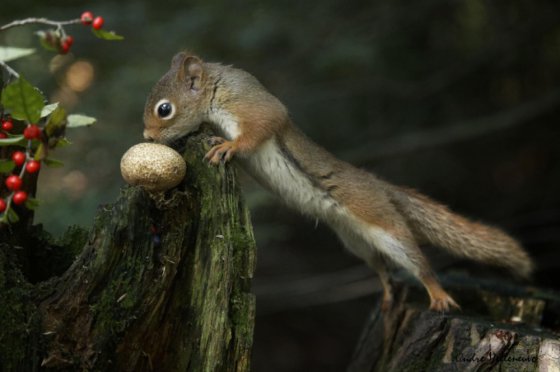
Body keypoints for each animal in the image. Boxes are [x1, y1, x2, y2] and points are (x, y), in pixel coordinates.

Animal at [142, 50, 532, 310]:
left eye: (165, 109)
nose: (146, 137)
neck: (215, 90)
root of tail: (381, 187)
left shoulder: (252, 106)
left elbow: (261, 126)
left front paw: (228, 146)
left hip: (387, 226)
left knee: (418, 264)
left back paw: (438, 295)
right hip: (355, 241)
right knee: (382, 267)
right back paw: (387, 292)